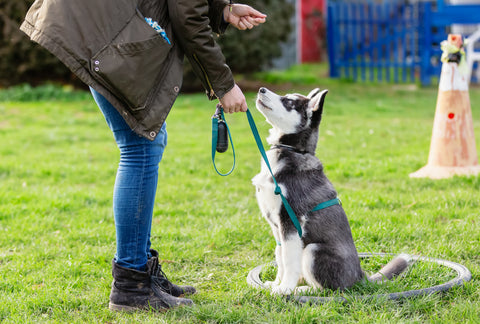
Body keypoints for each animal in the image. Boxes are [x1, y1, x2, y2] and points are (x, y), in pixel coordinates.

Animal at [251, 87, 408, 294]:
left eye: (289, 102)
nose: (261, 89)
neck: (292, 151)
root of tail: (360, 277)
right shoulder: (277, 227)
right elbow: (280, 256)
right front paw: (276, 283)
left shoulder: (291, 222)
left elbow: (289, 261)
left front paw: (284, 288)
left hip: (313, 249)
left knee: (329, 290)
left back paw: (303, 290)